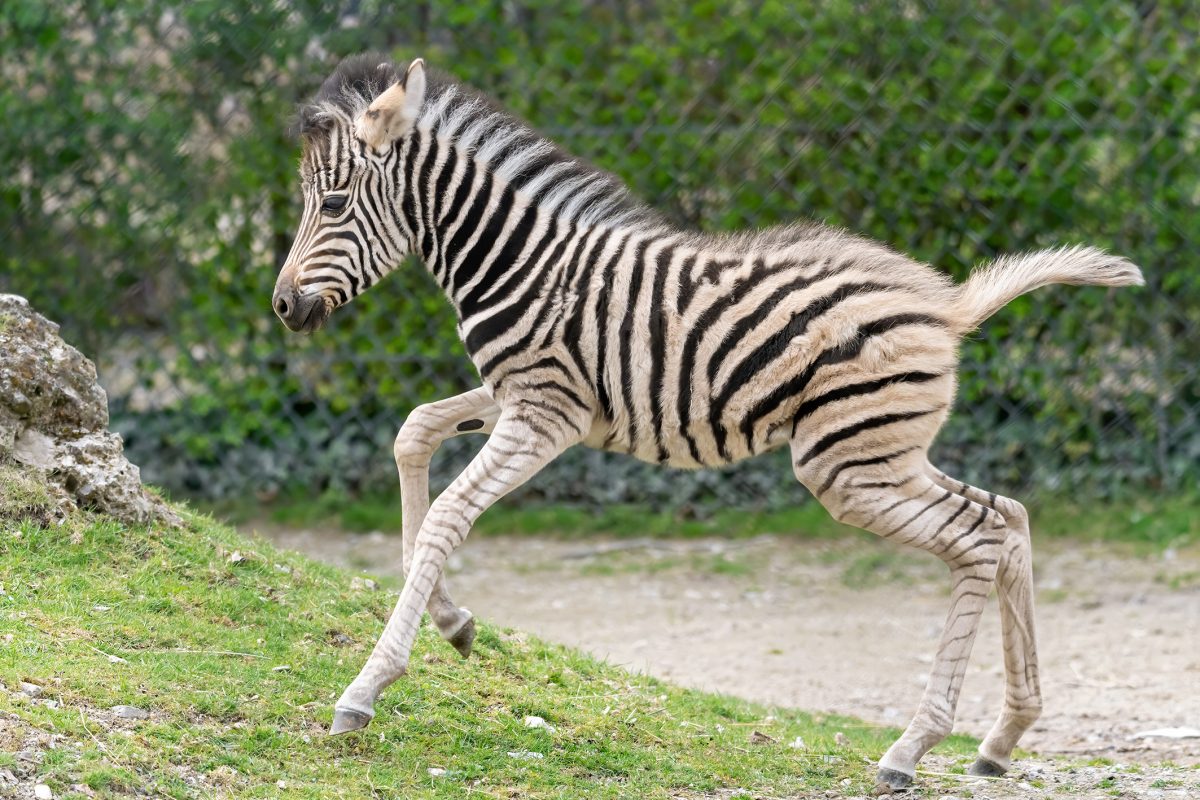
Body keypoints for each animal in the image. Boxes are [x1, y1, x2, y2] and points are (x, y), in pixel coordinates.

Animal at [272, 53, 1142, 791]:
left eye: (334, 203)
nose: (282, 306)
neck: (522, 263)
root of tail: (946, 304)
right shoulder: (522, 397)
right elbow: (414, 430)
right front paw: (453, 622)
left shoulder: (546, 411)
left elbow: (449, 513)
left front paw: (366, 688)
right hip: (884, 452)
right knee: (1011, 517)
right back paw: (1002, 737)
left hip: (845, 464)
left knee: (979, 536)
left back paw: (911, 748)